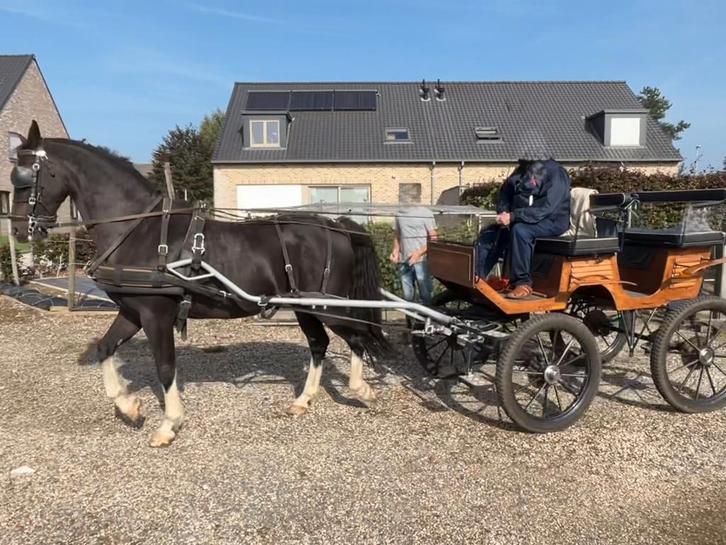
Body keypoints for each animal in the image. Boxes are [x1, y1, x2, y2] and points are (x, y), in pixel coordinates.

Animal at [9, 121, 390, 447]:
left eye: (27, 176)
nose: (17, 230)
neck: (139, 228)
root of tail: (337, 226)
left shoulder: (156, 315)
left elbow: (165, 368)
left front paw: (169, 424)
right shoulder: (132, 312)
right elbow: (105, 349)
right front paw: (129, 407)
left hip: (326, 305)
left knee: (356, 338)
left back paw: (361, 389)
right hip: (304, 306)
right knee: (319, 344)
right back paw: (304, 399)